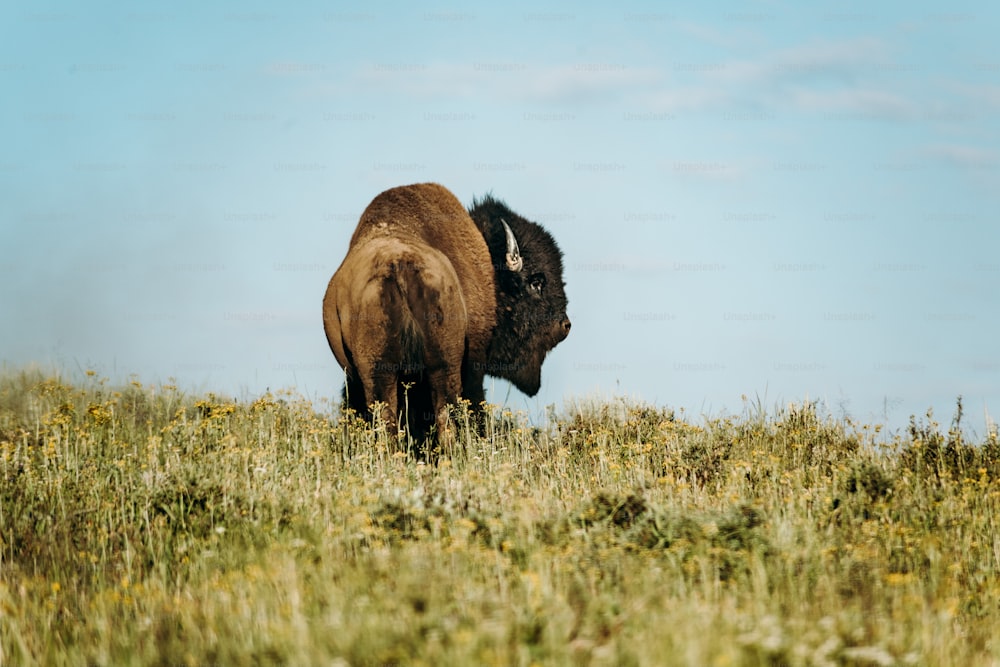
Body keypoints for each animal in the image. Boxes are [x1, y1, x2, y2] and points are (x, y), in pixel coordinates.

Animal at [322, 183, 572, 448]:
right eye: (536, 282)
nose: (564, 325)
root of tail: (397, 264)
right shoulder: (474, 363)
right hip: (444, 366)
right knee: (445, 413)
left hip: (375, 372)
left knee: (387, 418)